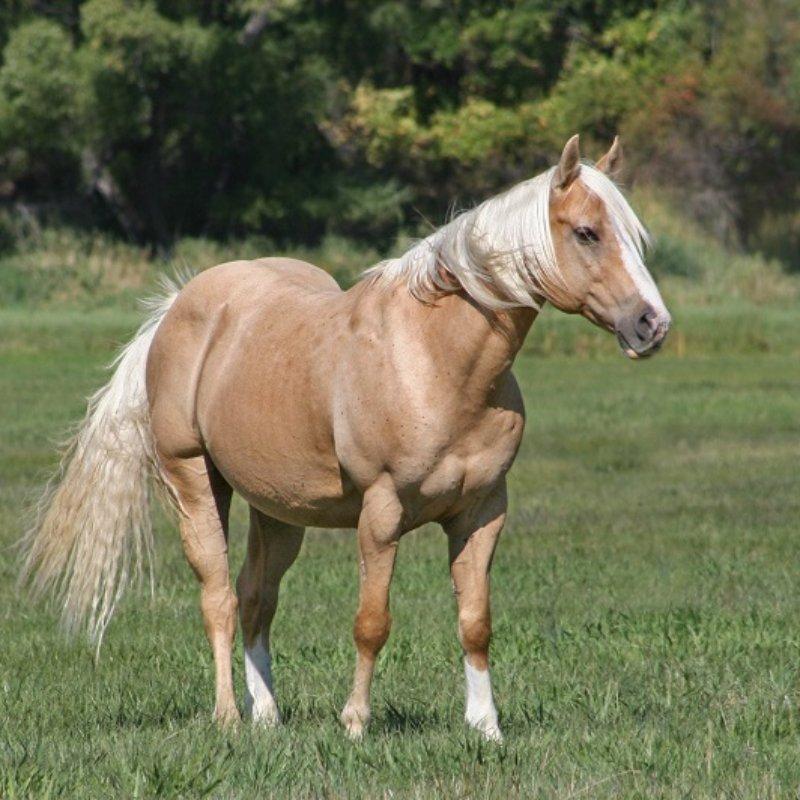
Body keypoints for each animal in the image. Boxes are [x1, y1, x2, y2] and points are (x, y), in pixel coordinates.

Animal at [21, 134, 670, 742]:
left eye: (634, 236)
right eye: (586, 232)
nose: (653, 325)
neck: (435, 362)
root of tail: (180, 304)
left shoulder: (483, 511)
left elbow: (476, 621)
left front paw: (486, 726)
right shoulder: (381, 514)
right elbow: (371, 622)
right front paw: (356, 721)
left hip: (277, 510)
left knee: (256, 598)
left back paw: (268, 715)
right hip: (194, 483)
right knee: (219, 599)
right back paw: (229, 716)